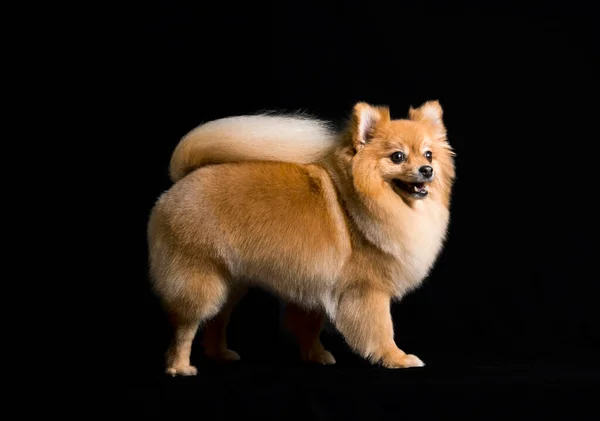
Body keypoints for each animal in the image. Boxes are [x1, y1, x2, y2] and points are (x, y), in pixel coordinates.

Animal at [149, 101, 454, 374]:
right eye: (397, 157)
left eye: (428, 155)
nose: (427, 170)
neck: (362, 201)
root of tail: (183, 180)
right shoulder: (366, 290)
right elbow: (381, 330)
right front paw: (397, 358)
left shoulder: (318, 281)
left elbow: (309, 326)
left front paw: (316, 356)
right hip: (201, 279)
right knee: (186, 326)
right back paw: (180, 367)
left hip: (230, 281)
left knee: (217, 320)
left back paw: (220, 354)